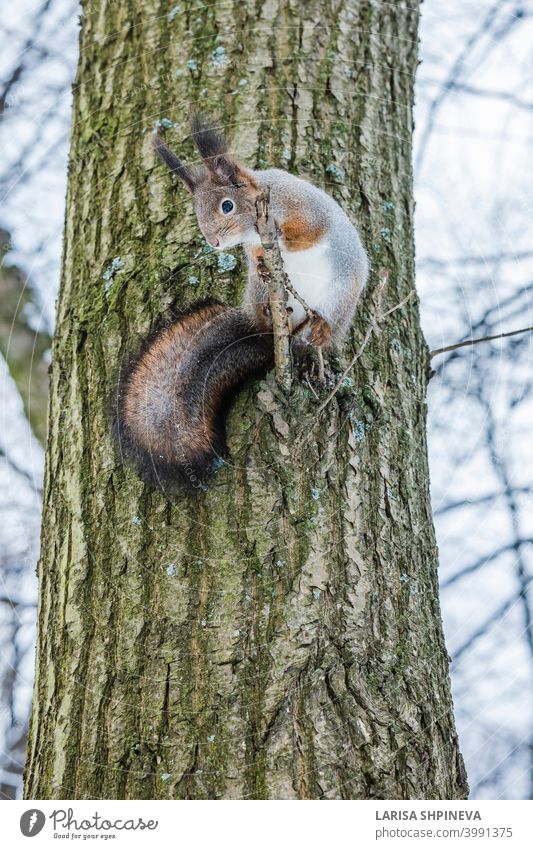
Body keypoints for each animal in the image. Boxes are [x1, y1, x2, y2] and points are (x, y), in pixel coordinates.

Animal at [114, 117, 368, 490]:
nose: (213, 242)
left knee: (326, 327)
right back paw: (272, 313)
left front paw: (284, 238)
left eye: (227, 206)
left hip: (341, 295)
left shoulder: (304, 209)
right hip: (264, 297)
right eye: (197, 213)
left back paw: (320, 332)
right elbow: (257, 254)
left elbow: (307, 232)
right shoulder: (253, 245)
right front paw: (262, 262)